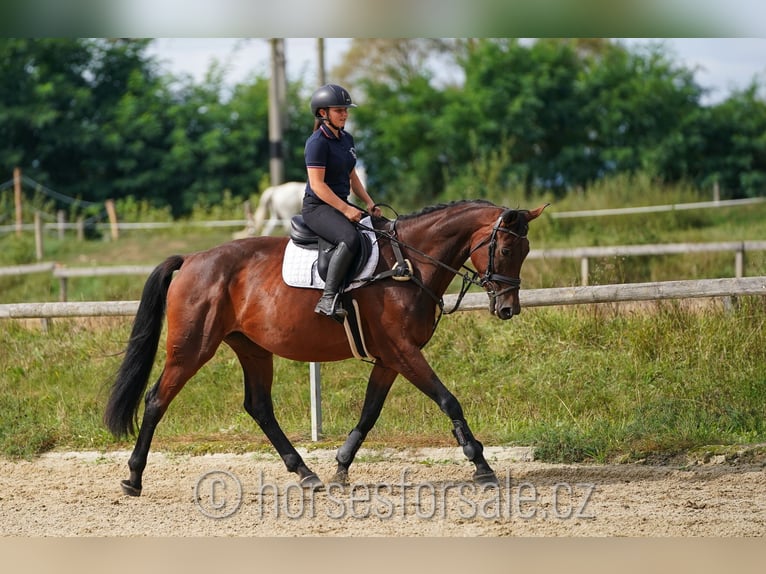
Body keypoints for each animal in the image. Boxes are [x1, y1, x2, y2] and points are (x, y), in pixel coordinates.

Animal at [103, 200, 544, 498]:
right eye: (506, 250)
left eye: (524, 252)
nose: (508, 308)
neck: (408, 264)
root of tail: (192, 259)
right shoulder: (403, 351)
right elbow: (449, 400)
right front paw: (481, 464)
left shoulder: (390, 358)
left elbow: (369, 413)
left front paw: (341, 467)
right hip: (192, 348)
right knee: (157, 399)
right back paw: (133, 477)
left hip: (253, 349)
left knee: (259, 407)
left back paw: (305, 472)